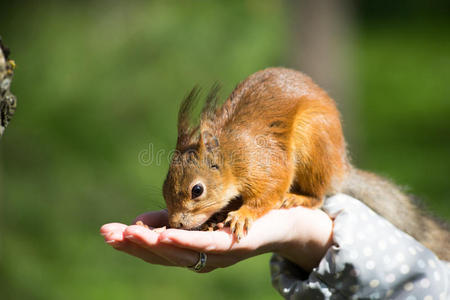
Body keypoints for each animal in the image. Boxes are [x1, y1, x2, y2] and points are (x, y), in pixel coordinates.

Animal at [161, 67, 446, 258]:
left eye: (197, 190)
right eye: (164, 189)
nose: (175, 224)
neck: (232, 157)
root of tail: (340, 170)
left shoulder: (266, 165)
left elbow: (270, 190)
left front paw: (243, 215)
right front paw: (215, 218)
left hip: (313, 146)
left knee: (319, 196)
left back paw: (298, 198)